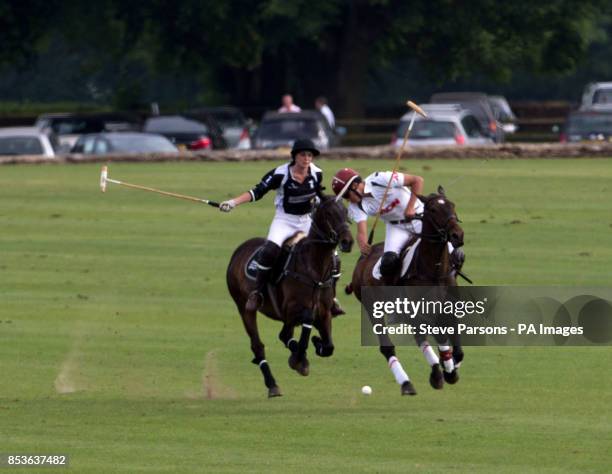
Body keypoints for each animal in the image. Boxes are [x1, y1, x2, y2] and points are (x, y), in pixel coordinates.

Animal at [227, 194, 354, 398]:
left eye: (345, 211)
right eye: (328, 213)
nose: (347, 241)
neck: (314, 270)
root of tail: (239, 249)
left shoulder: (324, 312)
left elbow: (328, 347)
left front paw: (314, 345)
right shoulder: (291, 309)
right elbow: (303, 321)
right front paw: (299, 359)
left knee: (285, 335)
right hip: (244, 307)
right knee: (258, 345)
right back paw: (273, 384)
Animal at [346, 187, 466, 394]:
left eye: (452, 205)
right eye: (433, 210)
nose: (457, 235)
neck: (434, 270)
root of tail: (363, 257)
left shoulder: (448, 307)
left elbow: (456, 345)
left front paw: (450, 367)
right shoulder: (419, 311)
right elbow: (438, 335)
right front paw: (446, 370)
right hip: (373, 309)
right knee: (388, 347)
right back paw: (408, 382)